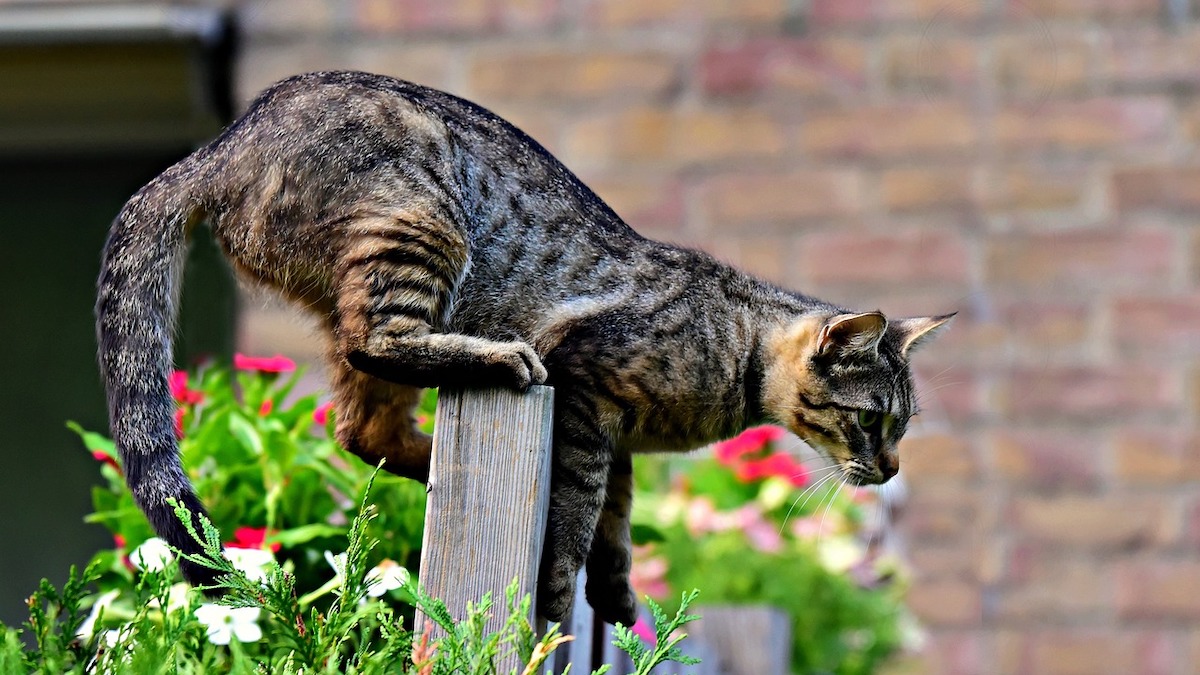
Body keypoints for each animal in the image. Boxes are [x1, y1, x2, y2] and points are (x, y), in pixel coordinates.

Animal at [96, 69, 945, 624]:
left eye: (900, 427)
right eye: (871, 421)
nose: (891, 467)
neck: (736, 351)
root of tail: (219, 146)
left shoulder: (615, 438)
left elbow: (616, 522)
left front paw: (617, 592)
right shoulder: (587, 394)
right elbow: (575, 517)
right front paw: (561, 593)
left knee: (362, 428)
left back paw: (434, 463)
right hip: (419, 224)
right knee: (379, 346)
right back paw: (498, 361)